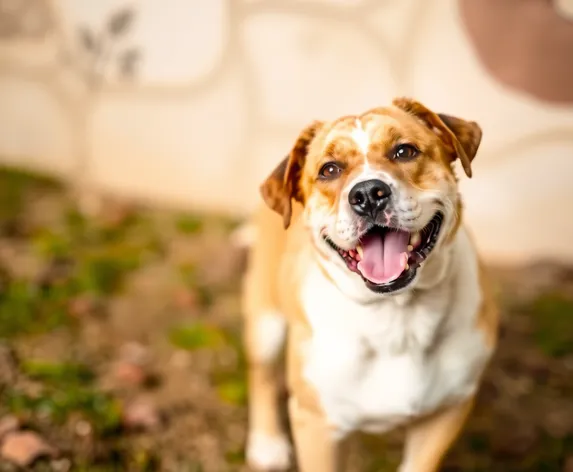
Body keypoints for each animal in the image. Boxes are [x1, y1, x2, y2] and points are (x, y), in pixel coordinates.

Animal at [240, 97, 496, 472]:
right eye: (329, 170)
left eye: (404, 151)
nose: (368, 193)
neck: (398, 315)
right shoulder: (318, 426)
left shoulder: (448, 410)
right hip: (265, 320)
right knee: (262, 375)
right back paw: (267, 443)